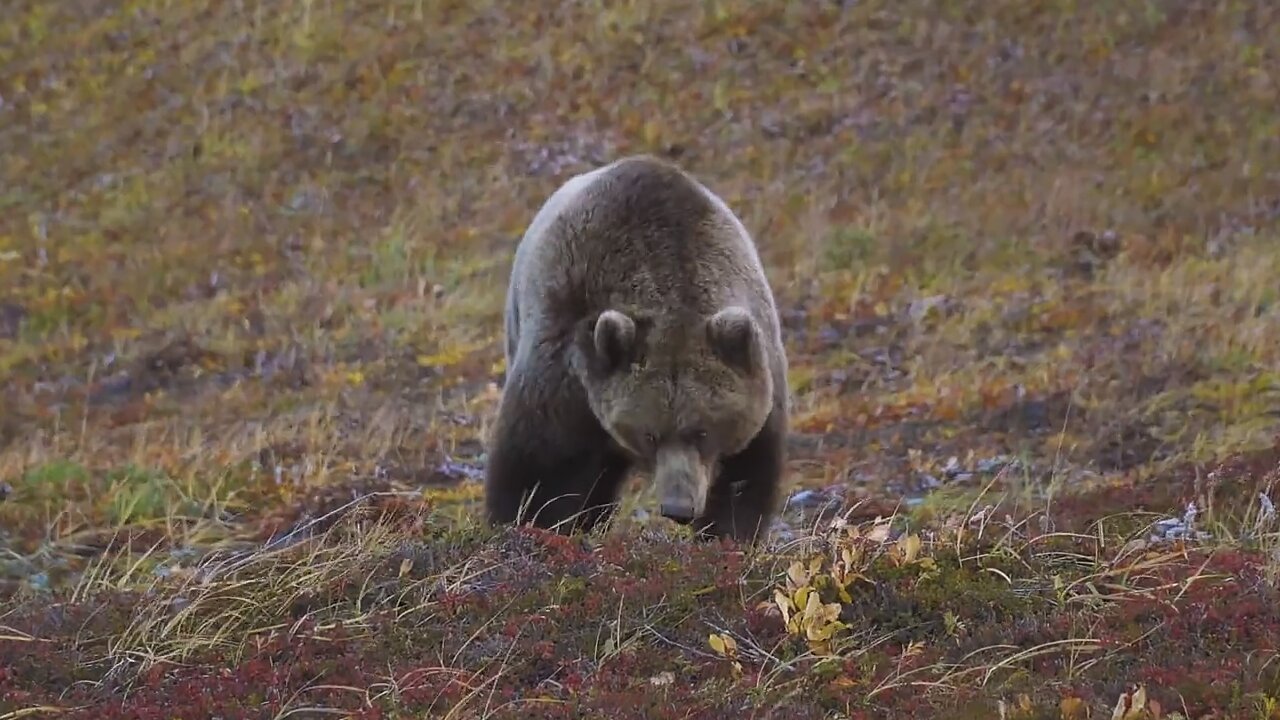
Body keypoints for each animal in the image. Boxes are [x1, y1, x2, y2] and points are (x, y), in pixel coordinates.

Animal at [483, 152, 783, 543]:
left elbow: (748, 472)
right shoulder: (565, 361)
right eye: (650, 434)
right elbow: (537, 464)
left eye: (703, 430)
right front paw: (528, 523)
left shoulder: (759, 360)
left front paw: (725, 534)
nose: (678, 508)